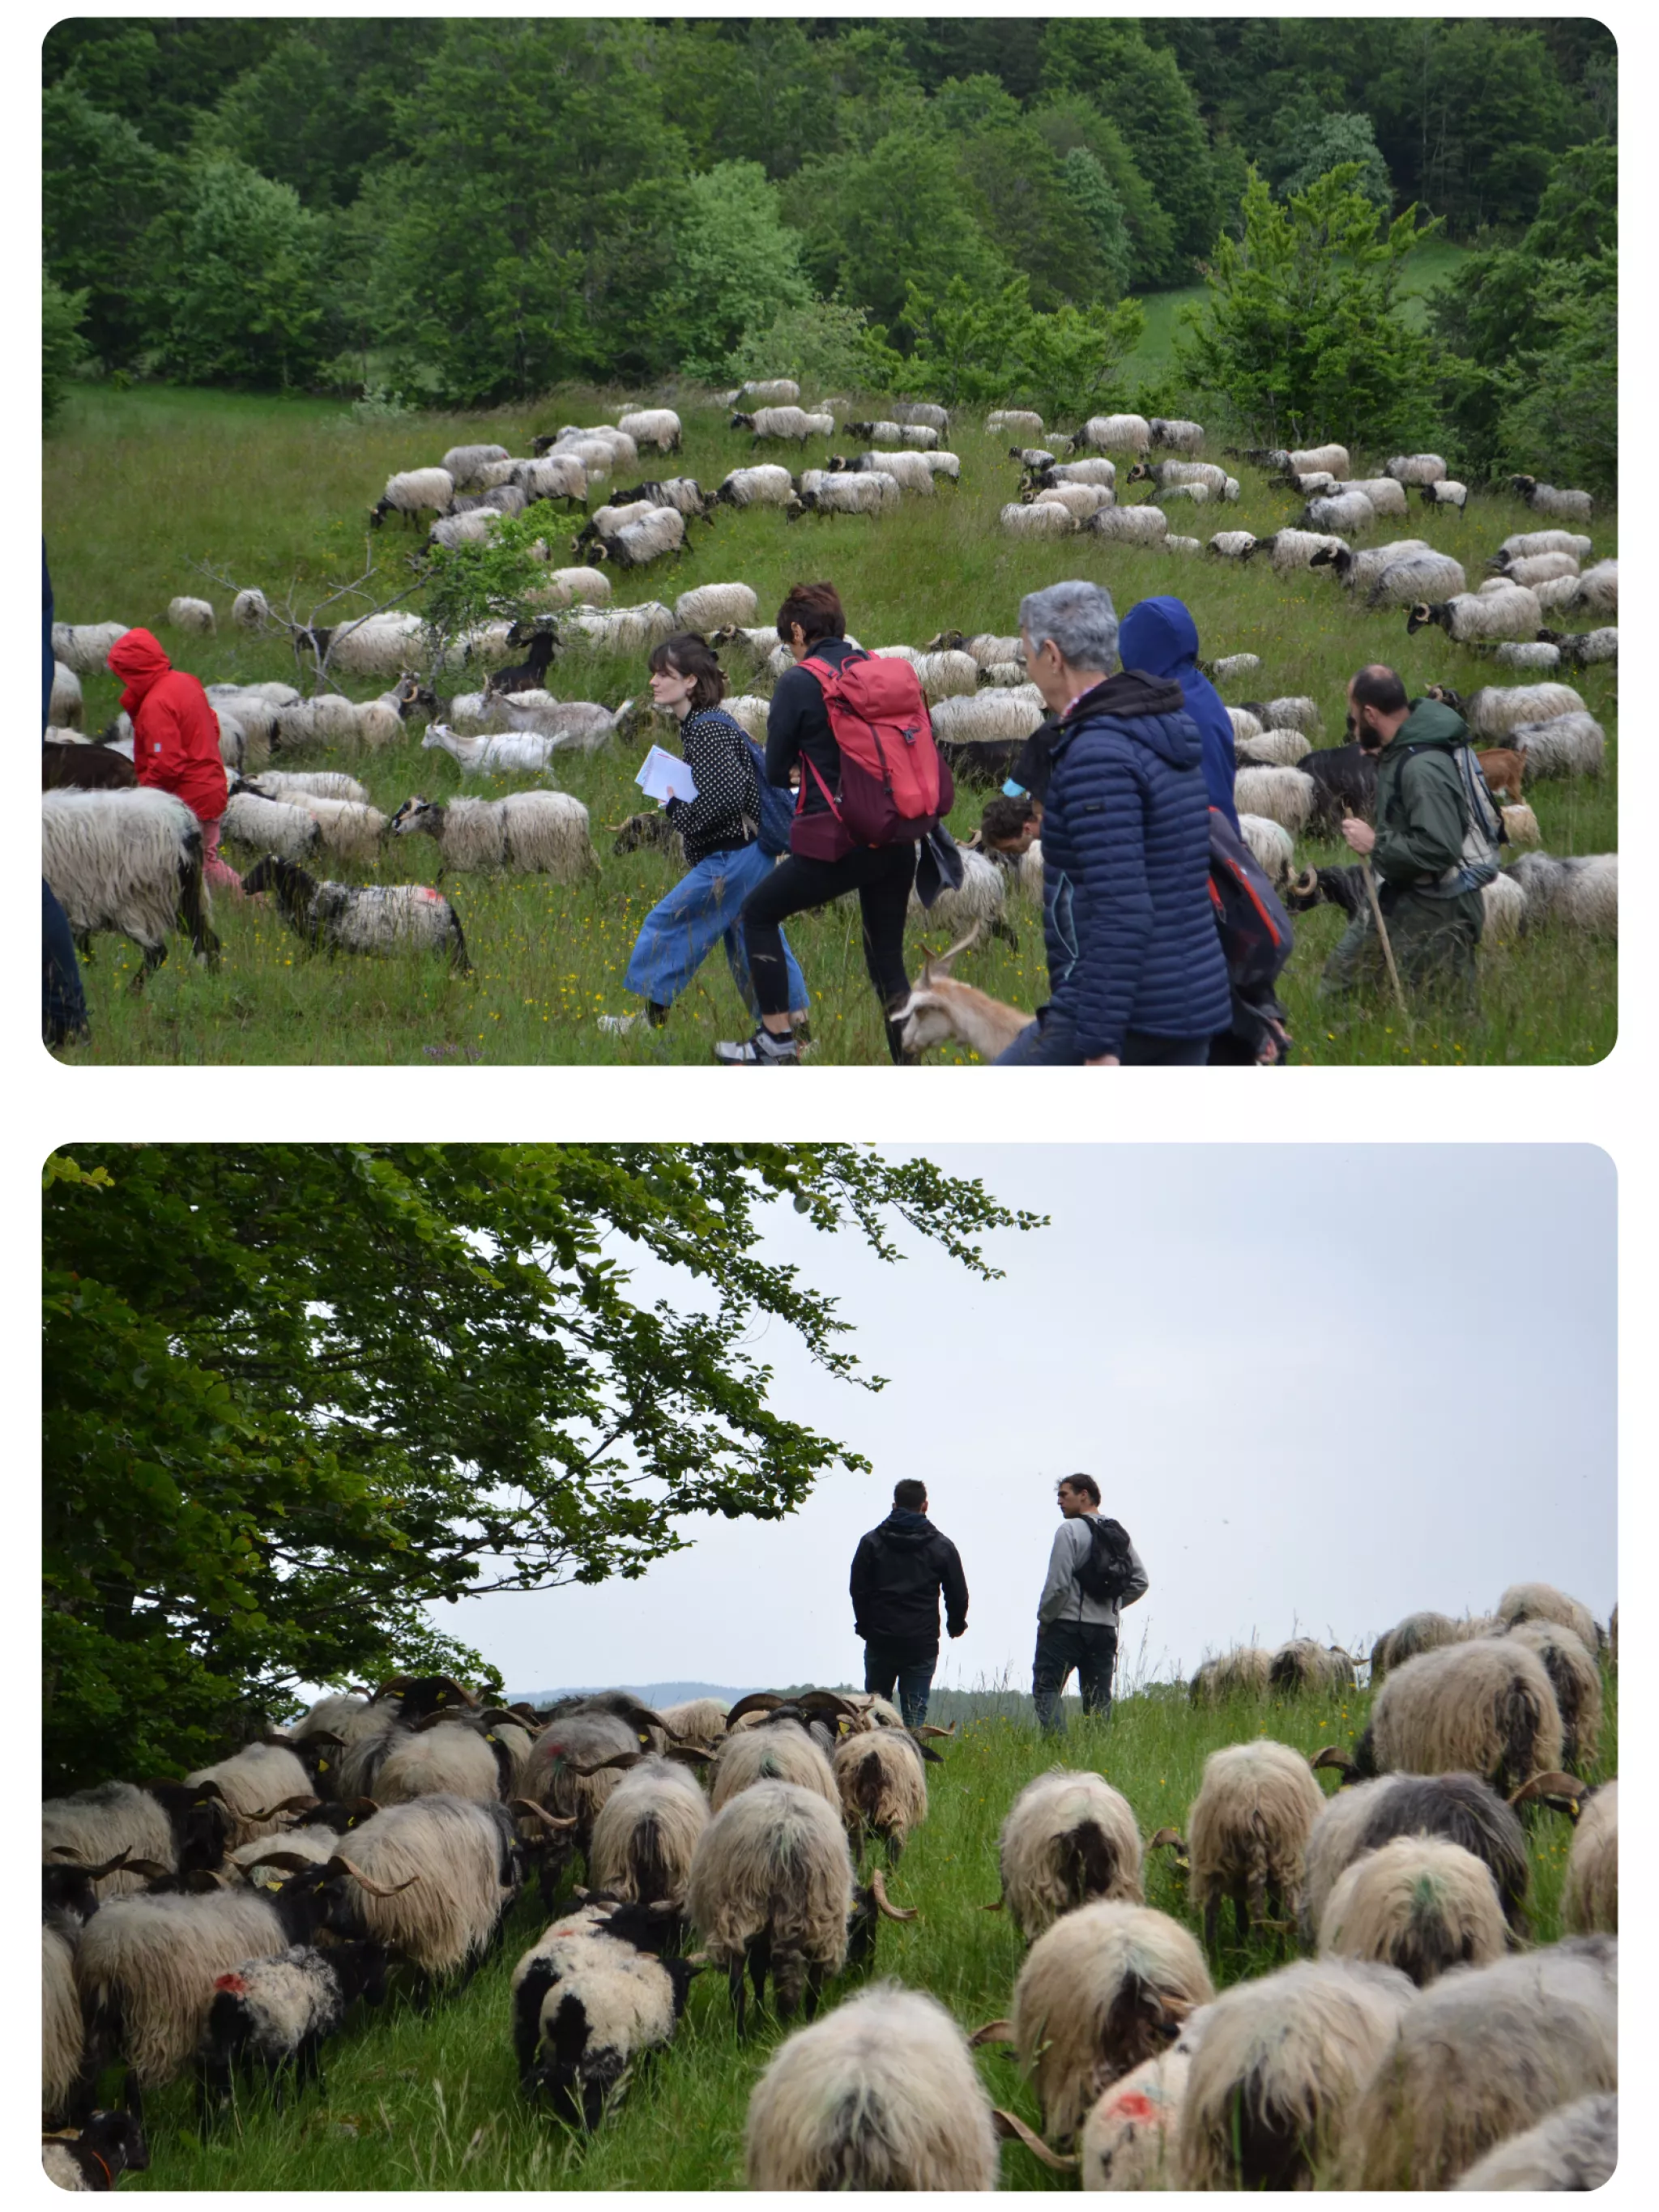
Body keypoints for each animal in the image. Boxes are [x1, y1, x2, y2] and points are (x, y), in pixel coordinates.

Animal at [234, 854, 471, 978]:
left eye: (264, 870)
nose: (243, 885)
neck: (308, 895)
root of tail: (448, 908)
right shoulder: (329, 945)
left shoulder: (319, 941)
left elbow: (303, 960)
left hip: (438, 949)